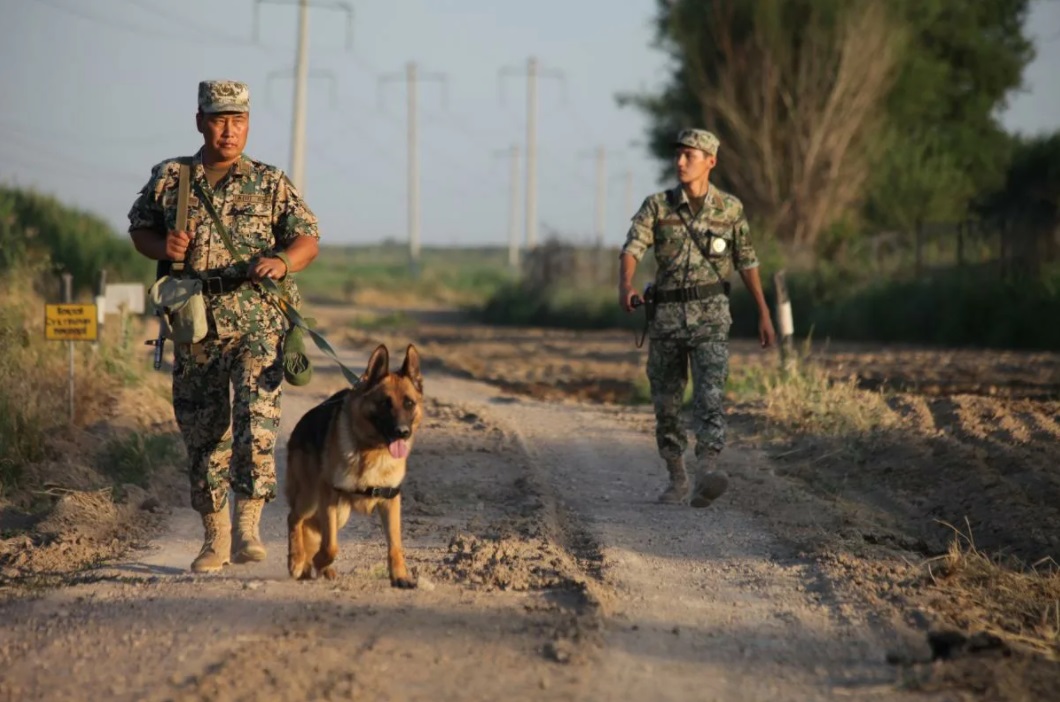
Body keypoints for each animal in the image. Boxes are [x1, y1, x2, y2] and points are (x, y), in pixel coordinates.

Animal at [290, 343, 426, 585]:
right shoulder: (329, 495)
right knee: (295, 519)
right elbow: (331, 546)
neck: (373, 451)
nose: (402, 432)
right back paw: (297, 560)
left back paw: (312, 567)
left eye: (409, 403)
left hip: (339, 513)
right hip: (310, 498)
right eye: (385, 404)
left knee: (310, 527)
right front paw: (318, 561)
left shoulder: (390, 501)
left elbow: (395, 545)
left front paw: (400, 576)